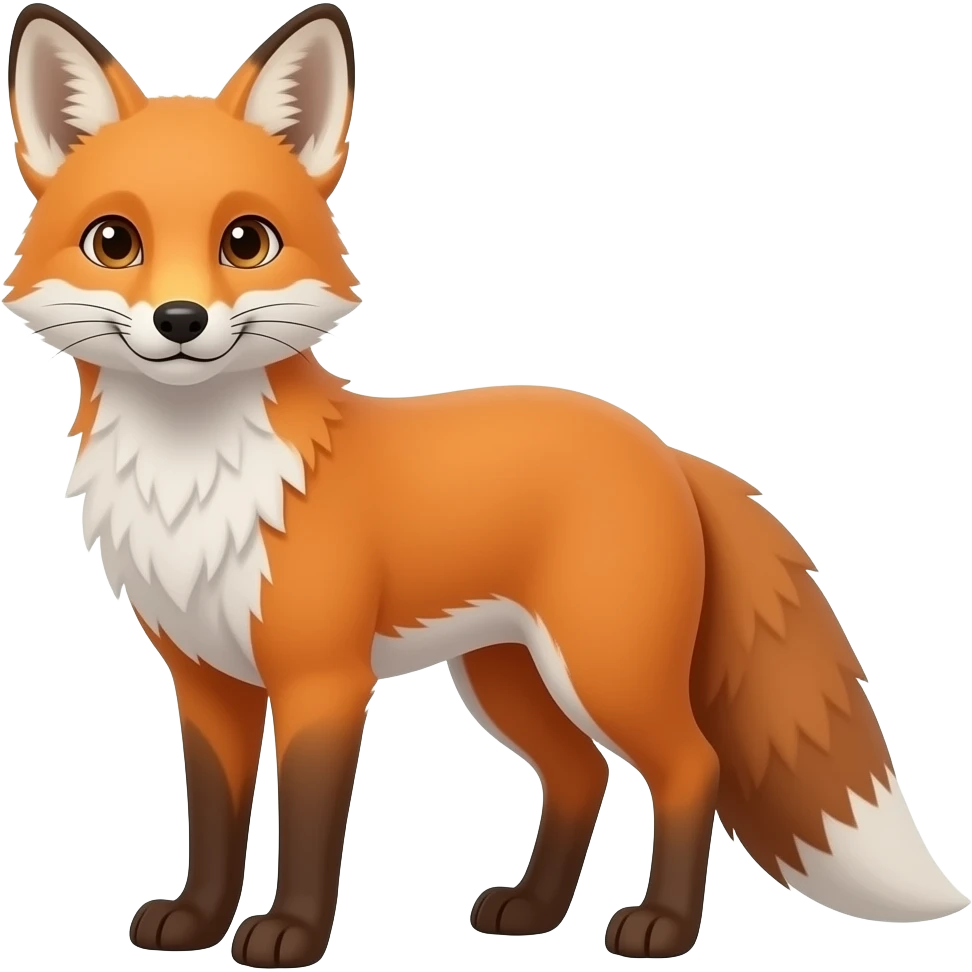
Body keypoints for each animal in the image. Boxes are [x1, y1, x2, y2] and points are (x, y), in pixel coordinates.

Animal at [4, 2, 968, 967]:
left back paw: (661, 925)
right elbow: (212, 818)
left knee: (692, 767)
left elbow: (309, 825)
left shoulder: (323, 679)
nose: (180, 321)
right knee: (582, 772)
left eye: (245, 242)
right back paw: (535, 910)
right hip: (509, 675)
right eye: (114, 242)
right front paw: (199, 922)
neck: (192, 483)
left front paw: (292, 934)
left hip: (604, 668)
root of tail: (663, 447)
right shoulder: (208, 680)